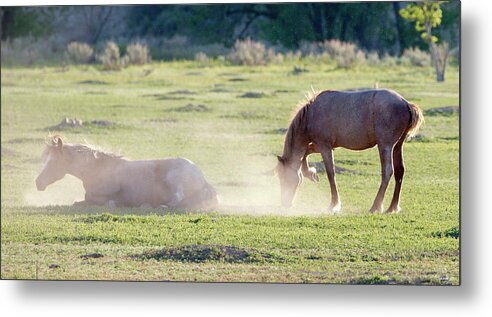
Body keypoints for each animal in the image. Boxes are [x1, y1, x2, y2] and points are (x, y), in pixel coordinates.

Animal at [35, 135, 218, 209]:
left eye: (53, 162)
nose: (38, 183)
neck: (99, 169)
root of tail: (203, 179)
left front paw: (113, 204)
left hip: (175, 180)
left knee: (177, 199)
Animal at [274, 87, 424, 214]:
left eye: (283, 177)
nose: (285, 203)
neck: (311, 114)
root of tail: (406, 104)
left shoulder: (325, 146)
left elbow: (330, 173)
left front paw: (333, 205)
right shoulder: (322, 145)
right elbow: (305, 153)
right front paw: (310, 173)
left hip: (385, 146)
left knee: (387, 171)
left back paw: (375, 206)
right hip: (397, 146)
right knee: (399, 171)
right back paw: (392, 207)